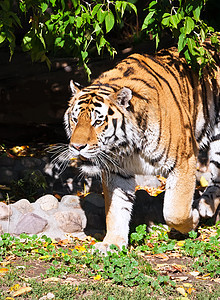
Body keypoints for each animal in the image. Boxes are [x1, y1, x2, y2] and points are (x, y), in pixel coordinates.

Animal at [62, 42, 220, 253]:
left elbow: (175, 211)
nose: (77, 146)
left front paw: (192, 220)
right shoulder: (117, 172)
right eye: (75, 119)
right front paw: (112, 243)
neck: (129, 147)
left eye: (98, 121)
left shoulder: (184, 160)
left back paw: (204, 206)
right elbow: (116, 209)